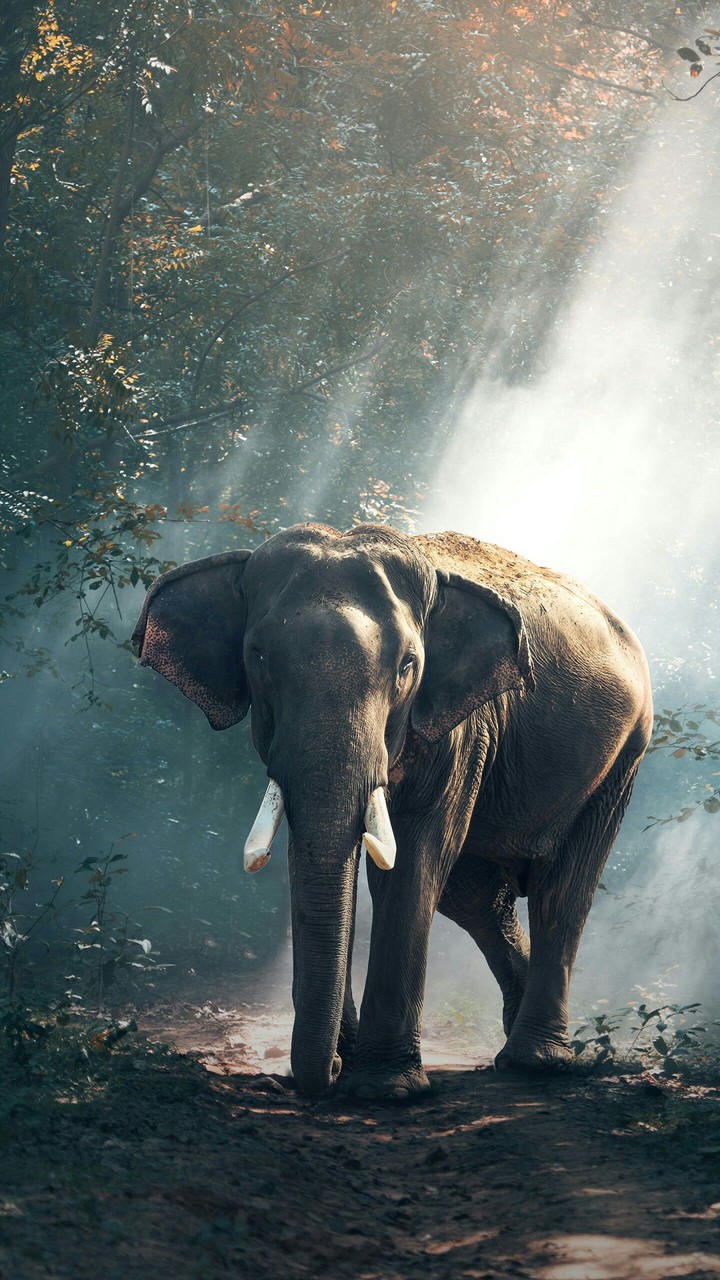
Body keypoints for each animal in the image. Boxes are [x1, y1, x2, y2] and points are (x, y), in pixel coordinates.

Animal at [132, 523, 652, 1099]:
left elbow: (413, 861)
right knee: (476, 897)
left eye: (408, 666)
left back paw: (535, 1062)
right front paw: (351, 1062)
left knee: (561, 891)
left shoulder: (462, 728)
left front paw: (385, 1089)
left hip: (623, 756)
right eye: (258, 657)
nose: (328, 1072)